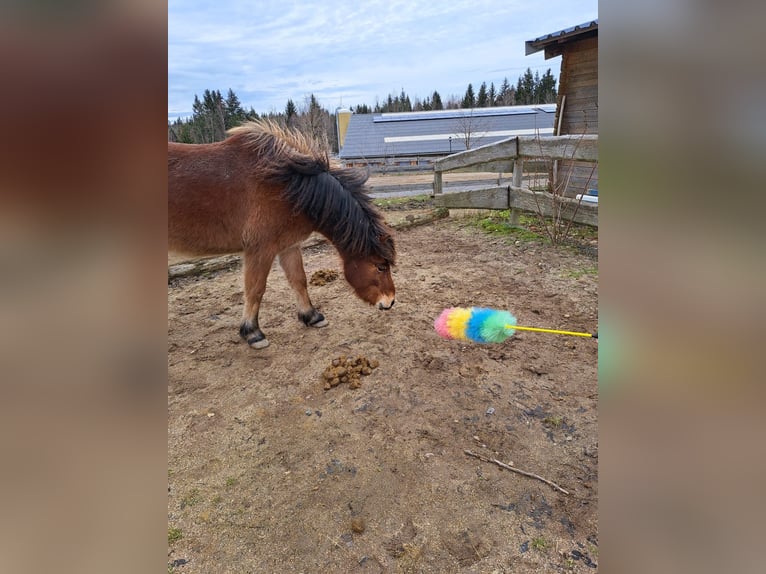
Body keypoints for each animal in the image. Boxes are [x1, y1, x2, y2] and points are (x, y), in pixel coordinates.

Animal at [168, 119, 396, 348]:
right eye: (380, 266)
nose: (390, 301)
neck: (286, 185)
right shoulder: (260, 250)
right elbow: (255, 290)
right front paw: (253, 333)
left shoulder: (288, 246)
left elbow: (299, 280)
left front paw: (312, 316)